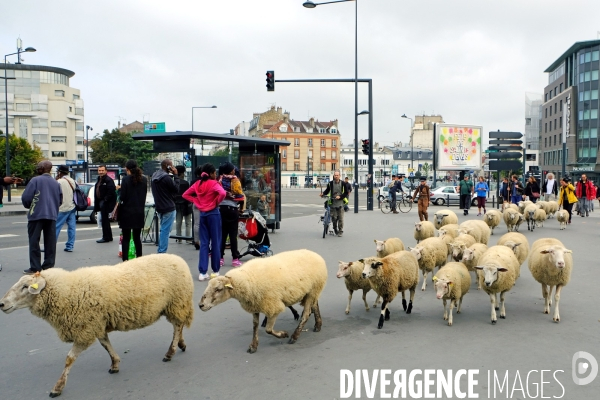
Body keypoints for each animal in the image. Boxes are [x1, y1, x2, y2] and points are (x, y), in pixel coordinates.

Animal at [0, 255, 195, 398]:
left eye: (25, 287)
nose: (1, 304)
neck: (69, 291)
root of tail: (179, 259)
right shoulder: (96, 324)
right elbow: (106, 344)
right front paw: (115, 364)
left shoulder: (84, 330)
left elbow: (69, 359)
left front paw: (57, 388)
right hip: (174, 305)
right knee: (179, 325)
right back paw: (181, 344)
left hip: (177, 301)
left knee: (177, 327)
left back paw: (170, 353)